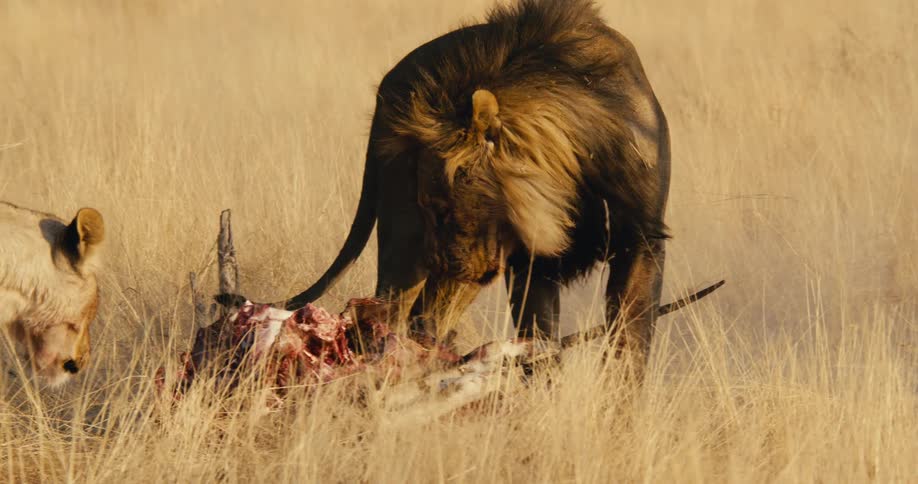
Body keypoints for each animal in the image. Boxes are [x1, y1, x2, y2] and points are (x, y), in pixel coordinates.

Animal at [270, 0, 670, 375]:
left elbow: (631, 332)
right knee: (397, 313)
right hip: (409, 248)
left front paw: (620, 394)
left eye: (443, 207)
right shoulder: (528, 262)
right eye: (428, 206)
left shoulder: (642, 240)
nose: (438, 263)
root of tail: (389, 80)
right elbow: (538, 333)